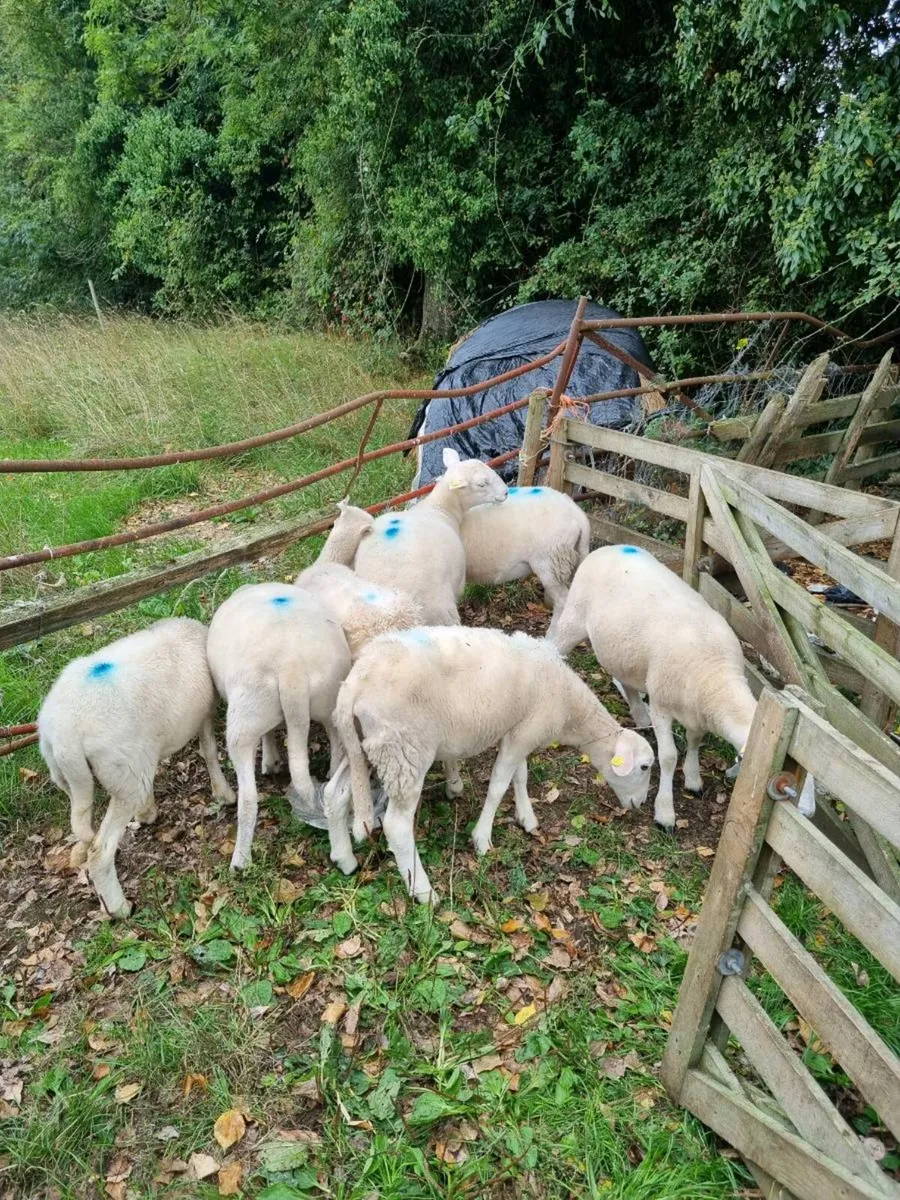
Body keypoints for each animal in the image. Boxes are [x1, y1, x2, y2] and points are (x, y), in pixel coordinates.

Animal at [38, 618, 234, 918]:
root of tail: (65, 737)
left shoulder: (144, 753)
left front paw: (147, 813)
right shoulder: (206, 713)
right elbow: (209, 750)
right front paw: (224, 793)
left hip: (71, 778)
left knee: (82, 823)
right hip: (126, 780)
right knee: (101, 850)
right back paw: (120, 908)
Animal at [206, 583, 351, 871]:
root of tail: (291, 668)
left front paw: (270, 761)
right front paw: (273, 760)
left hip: (245, 717)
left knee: (248, 800)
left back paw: (240, 861)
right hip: (330, 700)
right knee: (336, 751)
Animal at [323, 626, 655, 903]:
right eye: (644, 767)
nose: (639, 805)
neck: (570, 710)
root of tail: (353, 686)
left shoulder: (519, 730)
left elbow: (520, 776)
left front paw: (526, 817)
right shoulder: (525, 732)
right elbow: (498, 786)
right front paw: (482, 839)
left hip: (364, 746)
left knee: (334, 793)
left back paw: (344, 859)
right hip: (404, 750)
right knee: (397, 825)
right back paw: (423, 891)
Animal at [548, 544, 815, 829]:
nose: (809, 813)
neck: (716, 677)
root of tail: (611, 547)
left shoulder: (697, 712)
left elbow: (695, 740)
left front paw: (693, 778)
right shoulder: (662, 706)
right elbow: (668, 757)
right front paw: (665, 812)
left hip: (624, 652)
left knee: (625, 681)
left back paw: (640, 715)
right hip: (574, 619)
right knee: (552, 647)